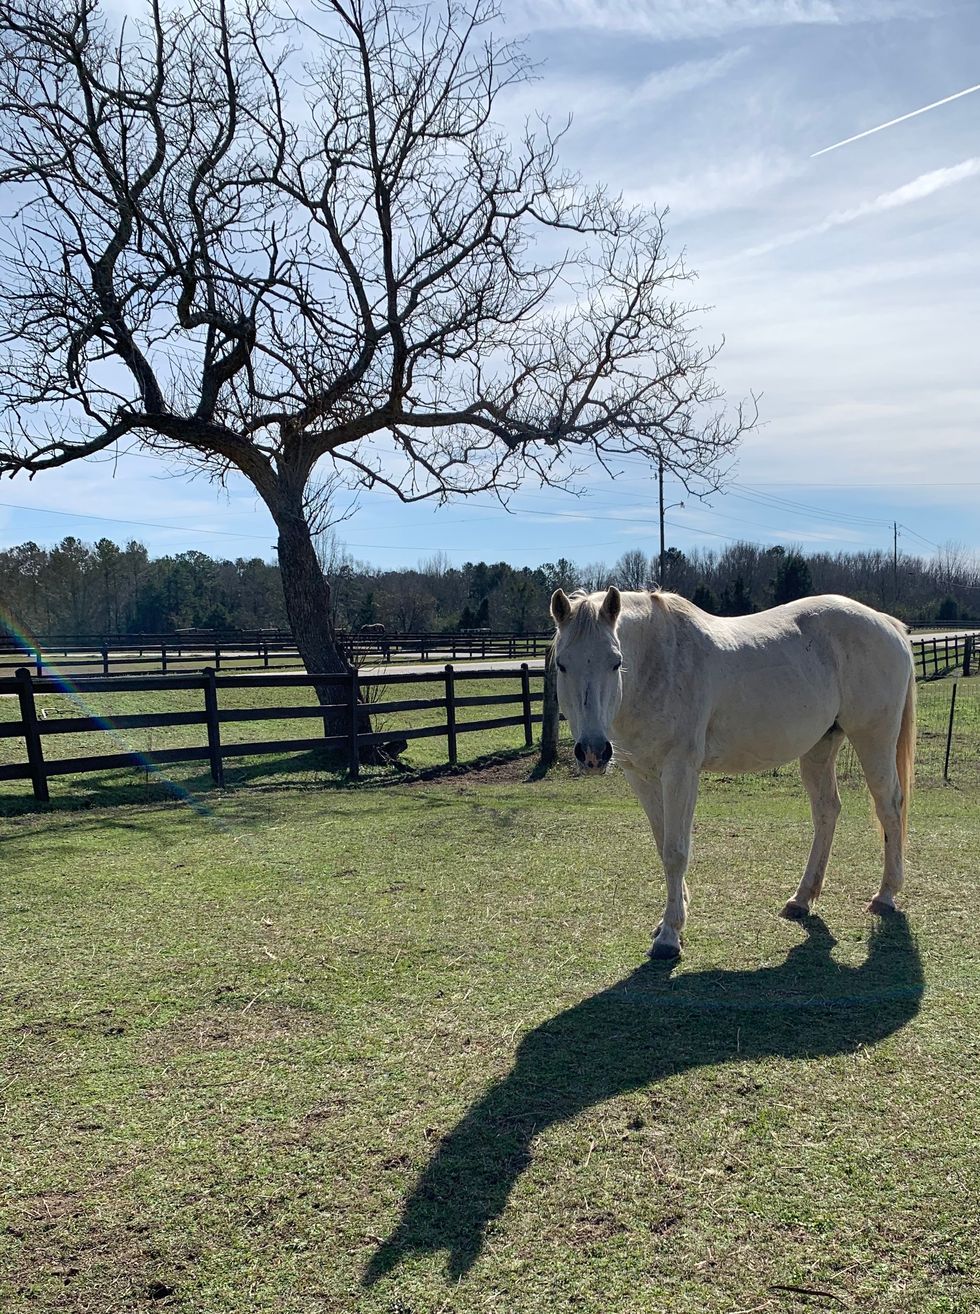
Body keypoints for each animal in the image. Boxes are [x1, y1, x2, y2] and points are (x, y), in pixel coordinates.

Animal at [550, 587, 916, 960]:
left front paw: (669, 936)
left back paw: (885, 895)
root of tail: (887, 623)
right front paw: (671, 918)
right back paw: (801, 899)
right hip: (820, 746)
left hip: (873, 739)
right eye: (563, 664)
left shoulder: (680, 771)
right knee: (827, 811)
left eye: (615, 661)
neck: (658, 663)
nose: (593, 752)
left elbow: (676, 851)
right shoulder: (640, 775)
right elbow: (662, 843)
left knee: (889, 807)